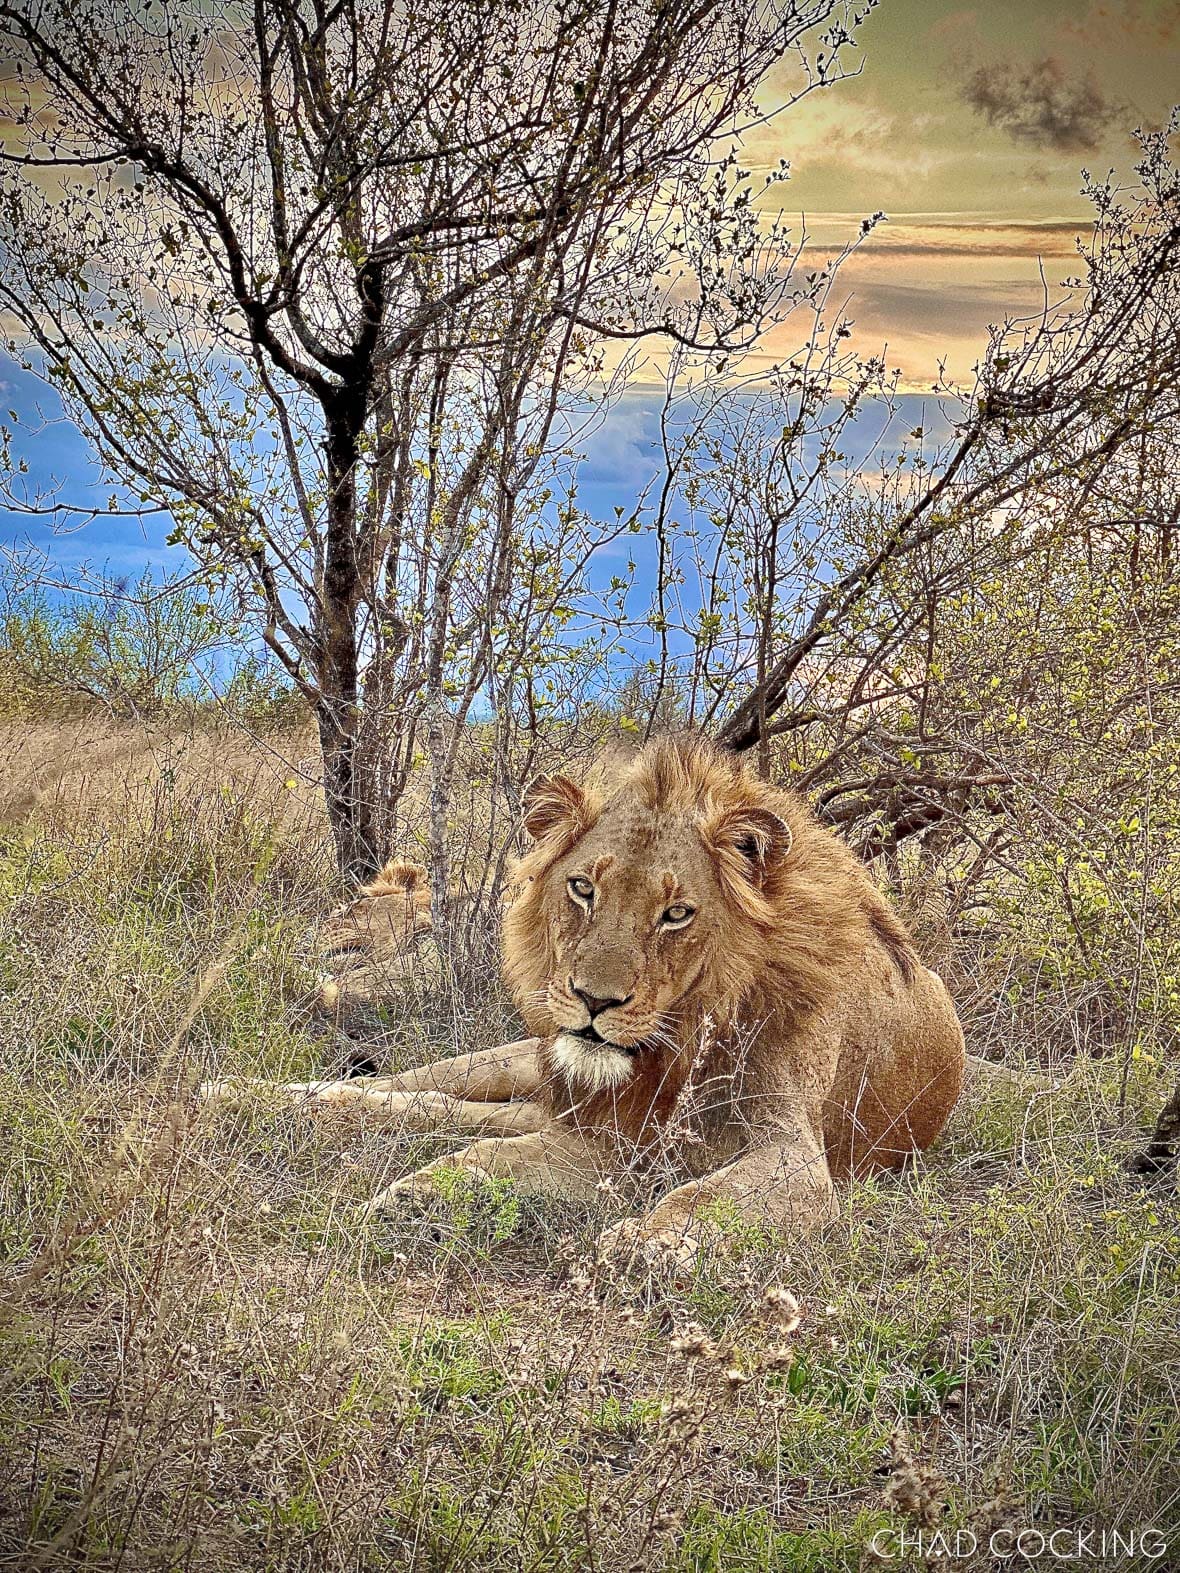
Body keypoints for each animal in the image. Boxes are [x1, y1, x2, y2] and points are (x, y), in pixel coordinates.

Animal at [207, 736, 965, 1262]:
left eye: (676, 914)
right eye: (582, 887)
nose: (593, 1000)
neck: (681, 1038)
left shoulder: (793, 1157)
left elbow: (704, 1195)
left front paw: (649, 1243)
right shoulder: (604, 1137)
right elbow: (480, 1157)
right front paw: (408, 1198)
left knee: (448, 1114)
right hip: (513, 1062)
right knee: (406, 1094)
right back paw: (238, 1092)